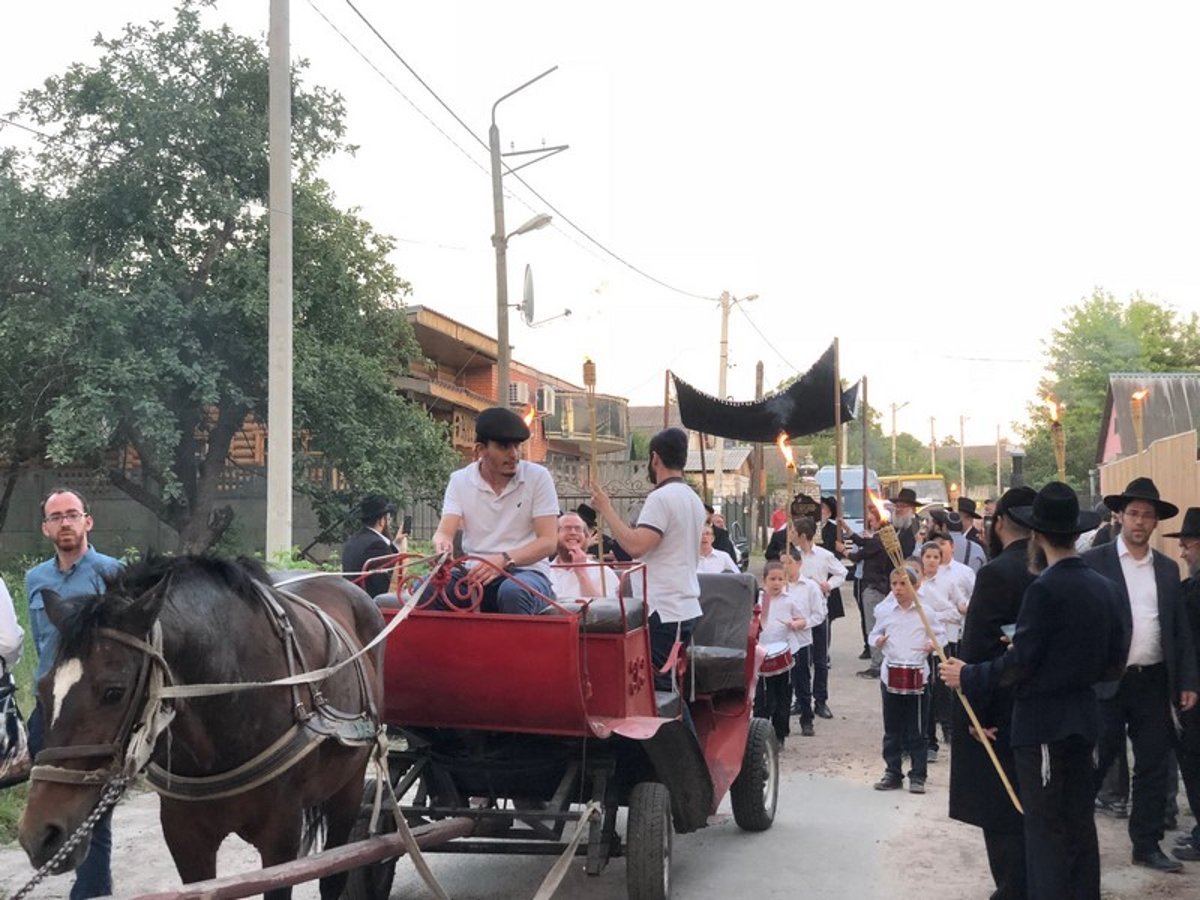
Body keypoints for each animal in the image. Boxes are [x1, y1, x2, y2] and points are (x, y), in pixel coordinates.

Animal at [18, 556, 384, 900]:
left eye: (113, 692)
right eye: (42, 690)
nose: (40, 835)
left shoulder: (281, 838)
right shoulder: (185, 837)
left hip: (348, 788)